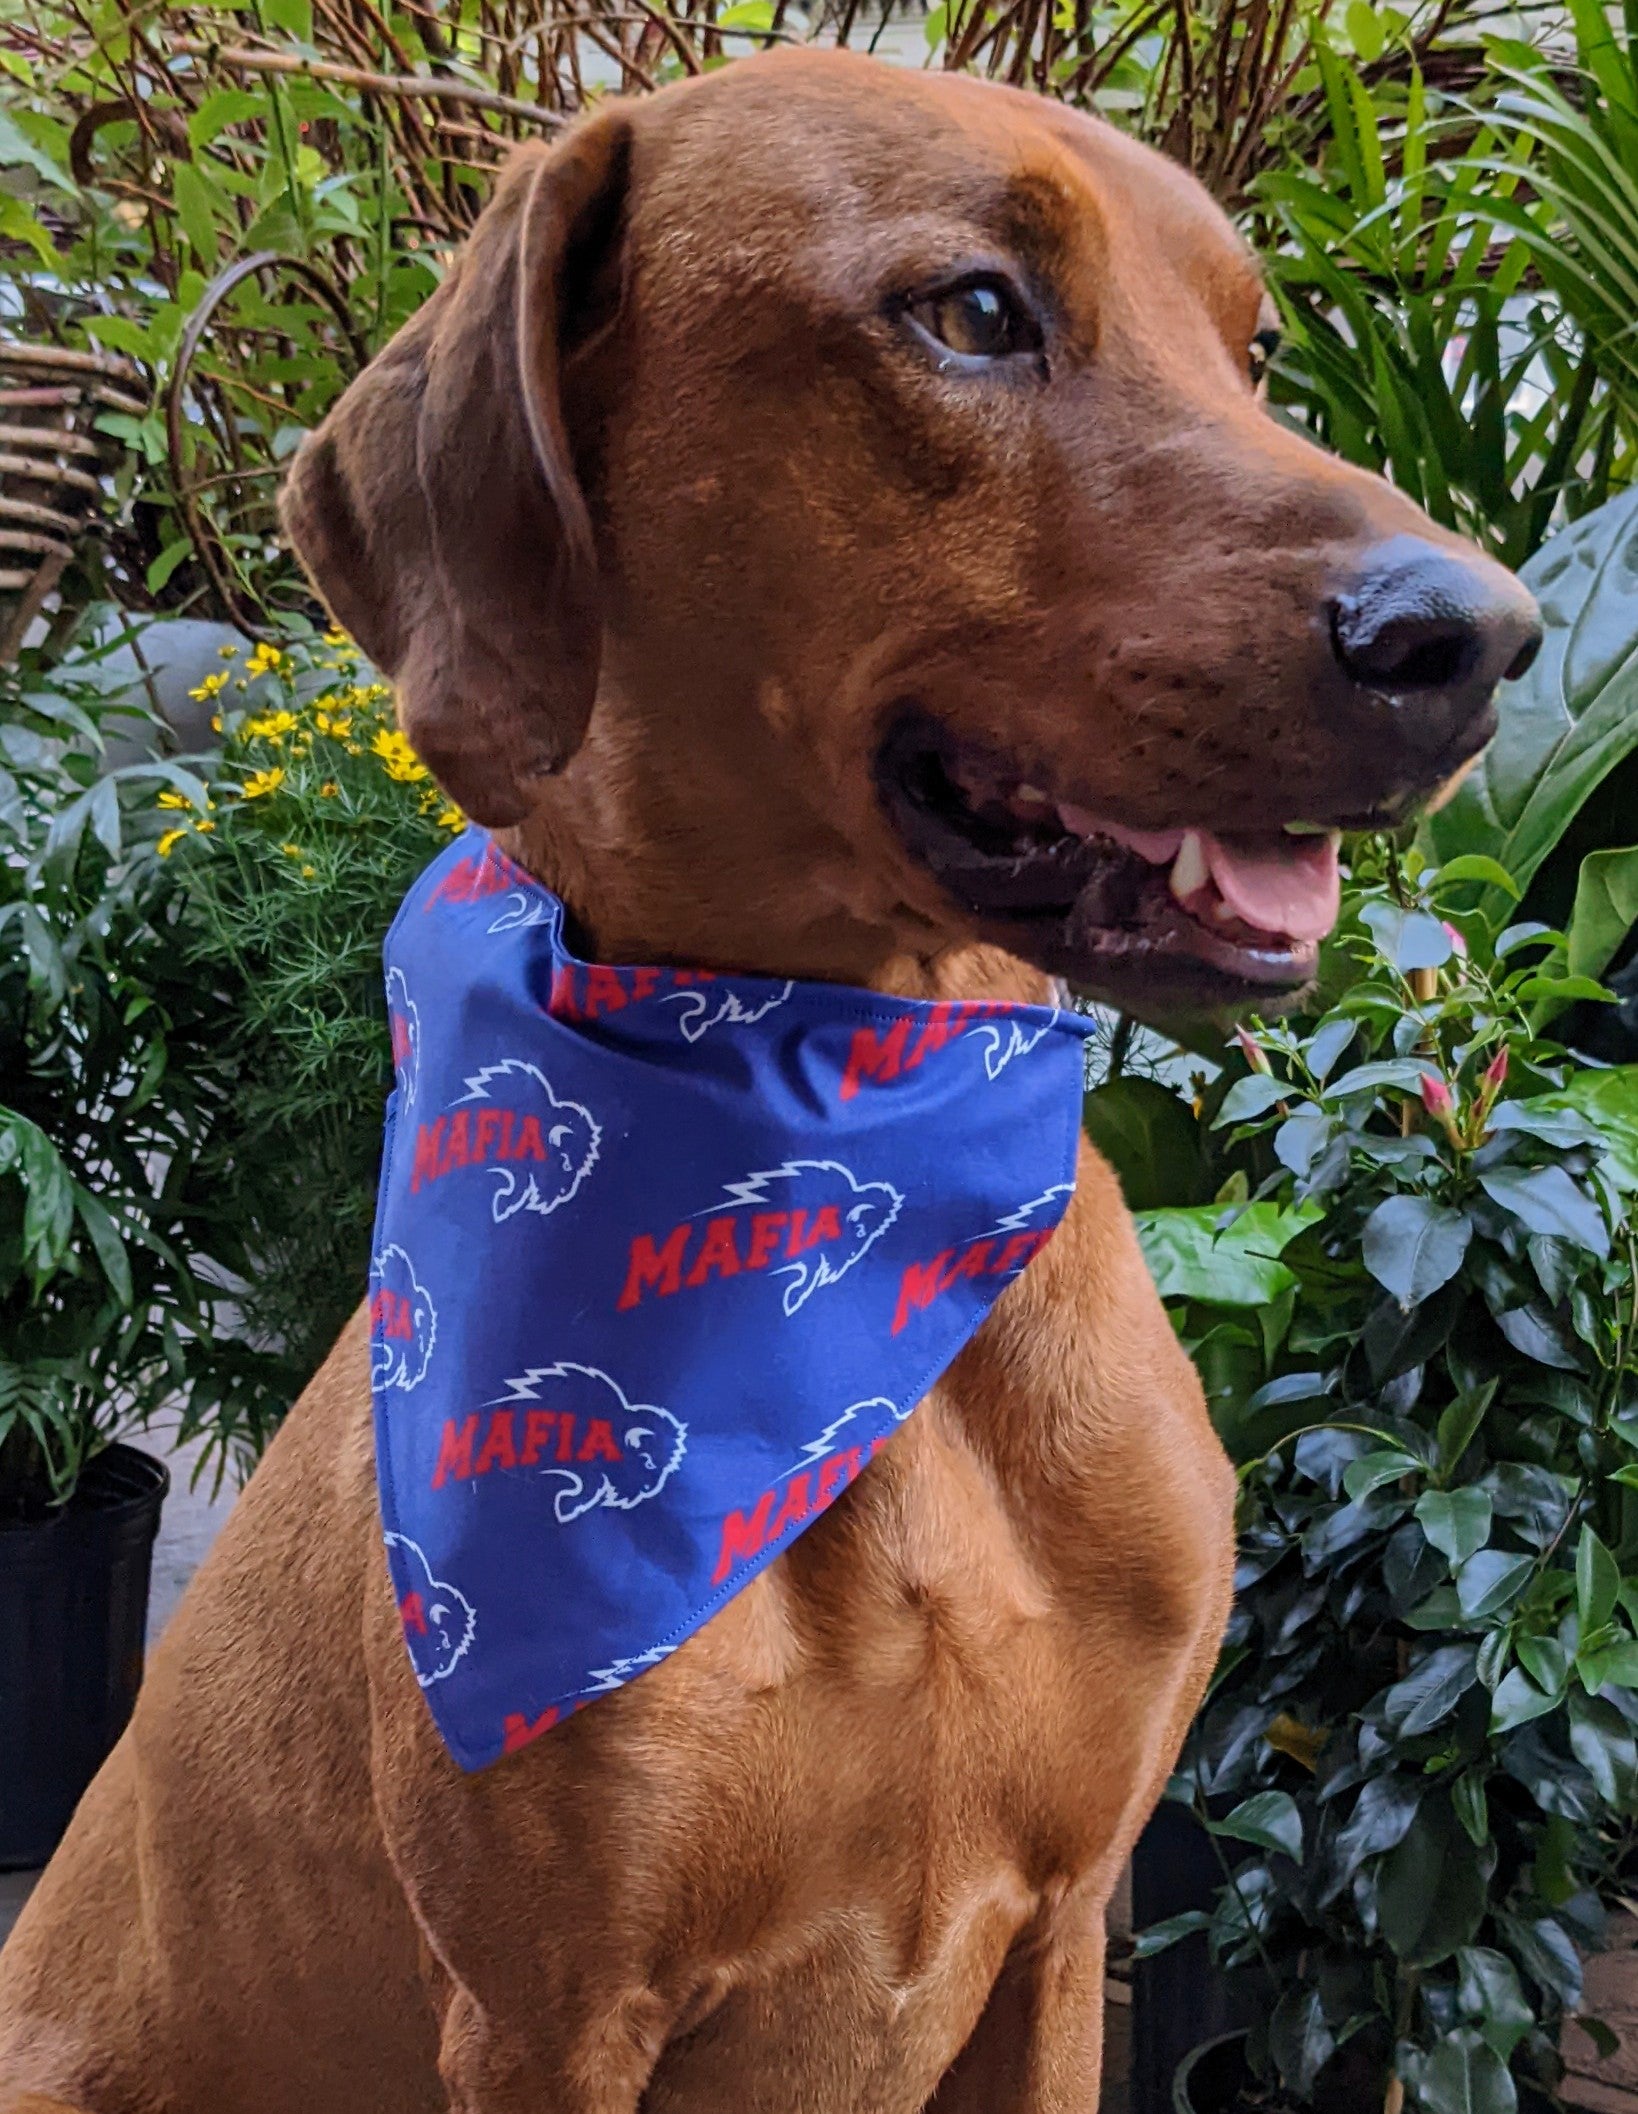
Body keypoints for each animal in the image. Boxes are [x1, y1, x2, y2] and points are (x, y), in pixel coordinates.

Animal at [0, 49, 1538, 2114]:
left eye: (1254, 345)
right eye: (969, 310)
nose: (1478, 635)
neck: (834, 1106)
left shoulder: (1064, 1927)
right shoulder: (548, 2010)